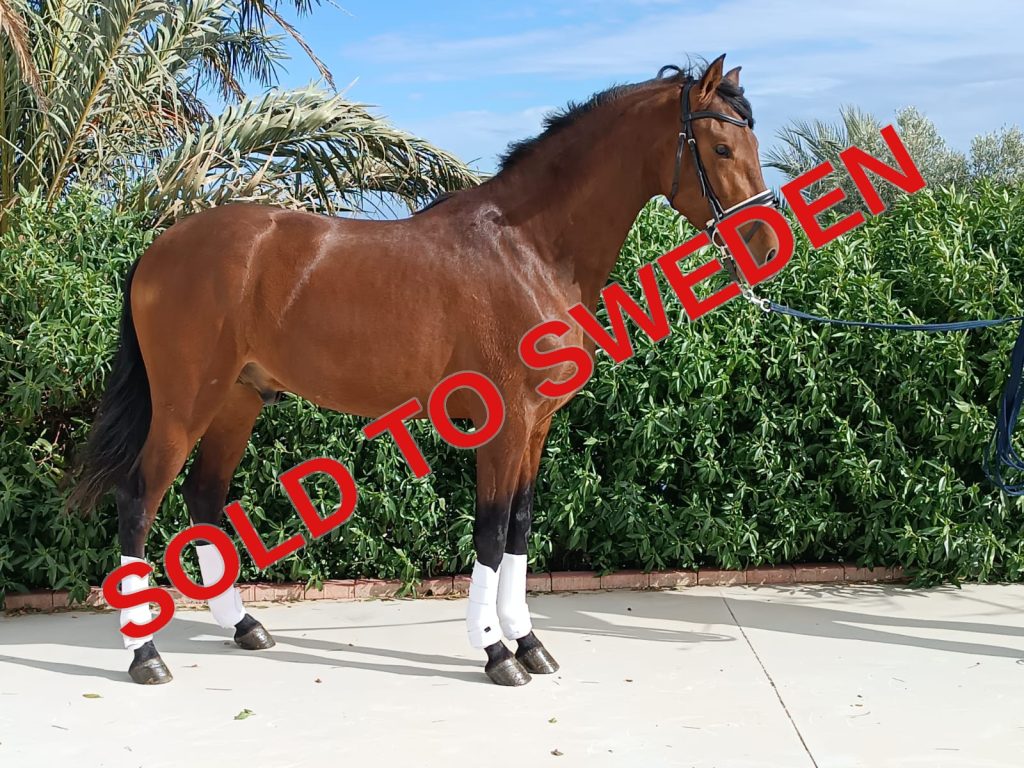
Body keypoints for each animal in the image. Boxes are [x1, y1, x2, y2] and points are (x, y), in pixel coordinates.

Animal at [70, 54, 781, 686]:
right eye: (721, 147)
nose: (766, 242)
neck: (528, 249)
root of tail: (160, 248)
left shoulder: (535, 430)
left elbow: (520, 529)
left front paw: (529, 644)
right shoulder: (504, 427)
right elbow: (491, 533)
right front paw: (495, 654)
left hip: (237, 401)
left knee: (204, 497)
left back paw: (245, 626)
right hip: (186, 402)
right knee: (138, 501)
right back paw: (145, 656)